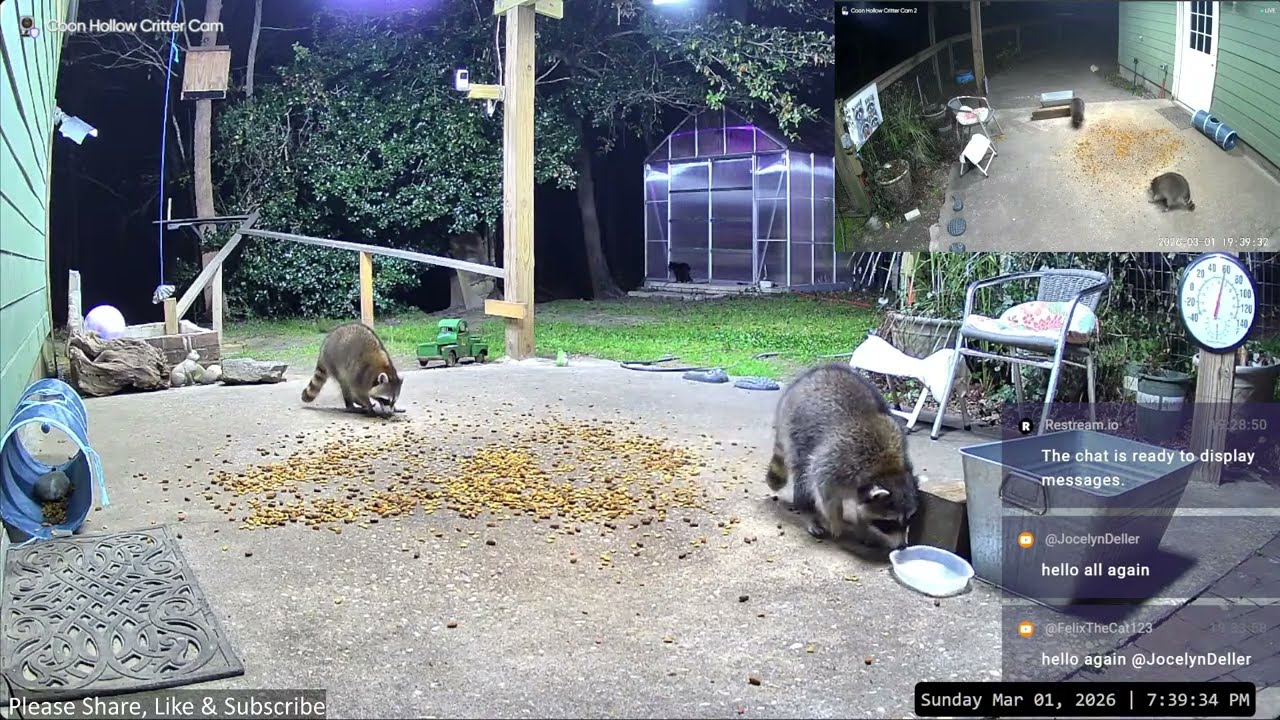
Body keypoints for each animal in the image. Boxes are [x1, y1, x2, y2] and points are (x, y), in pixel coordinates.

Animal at [765, 363, 920, 550]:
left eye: (909, 519)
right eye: (890, 523)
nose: (903, 546)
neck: (887, 470)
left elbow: (862, 507)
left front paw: (863, 526)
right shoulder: (837, 463)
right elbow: (826, 494)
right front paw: (835, 521)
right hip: (797, 430)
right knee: (804, 475)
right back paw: (809, 514)